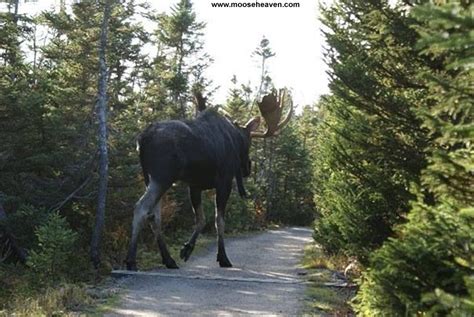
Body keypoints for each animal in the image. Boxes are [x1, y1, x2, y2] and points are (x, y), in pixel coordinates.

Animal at [124, 88, 290, 270]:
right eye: (249, 142)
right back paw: (131, 260)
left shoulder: (195, 185)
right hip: (162, 177)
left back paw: (168, 260)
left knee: (155, 216)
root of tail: (142, 139)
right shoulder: (224, 182)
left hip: (150, 178)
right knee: (141, 208)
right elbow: (219, 221)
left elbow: (201, 219)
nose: (247, 168)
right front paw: (223, 257)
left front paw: (187, 249)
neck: (234, 137)